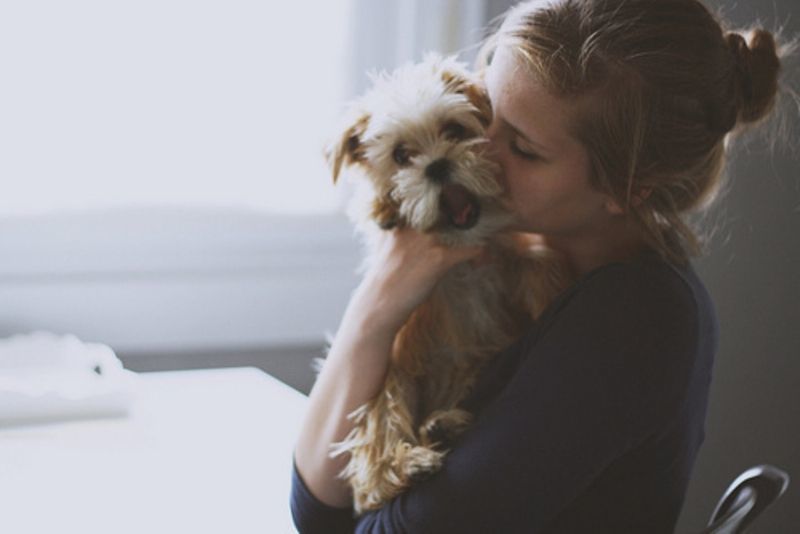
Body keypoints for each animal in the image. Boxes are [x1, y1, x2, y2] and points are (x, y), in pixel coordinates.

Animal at [324, 54, 568, 516]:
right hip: (393, 376)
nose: (437, 165)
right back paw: (408, 461)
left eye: (454, 131)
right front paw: (383, 207)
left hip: (476, 363)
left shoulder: (508, 257)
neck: (464, 257)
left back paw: (443, 424)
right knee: (373, 464)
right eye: (401, 156)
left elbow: (534, 264)